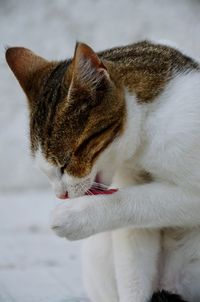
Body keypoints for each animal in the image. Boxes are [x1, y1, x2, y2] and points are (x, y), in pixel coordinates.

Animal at [5, 40, 200, 302]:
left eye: (65, 163)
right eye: (45, 171)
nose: (60, 195)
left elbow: (142, 199)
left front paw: (76, 215)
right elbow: (133, 261)